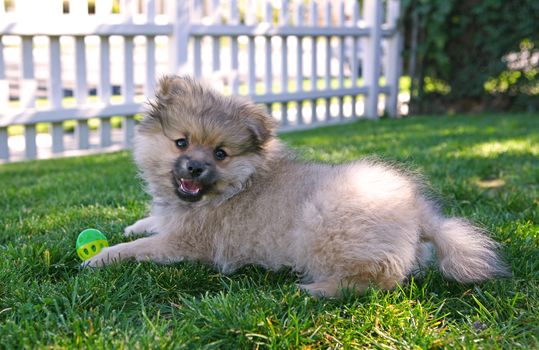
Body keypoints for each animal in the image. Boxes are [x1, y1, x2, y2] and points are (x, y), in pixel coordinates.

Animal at [84, 75, 510, 296]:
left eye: (221, 154)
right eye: (181, 143)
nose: (195, 168)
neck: (236, 185)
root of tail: (419, 214)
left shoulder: (184, 243)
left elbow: (138, 249)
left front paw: (100, 256)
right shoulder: (174, 223)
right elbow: (148, 225)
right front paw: (133, 225)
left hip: (321, 227)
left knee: (381, 279)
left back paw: (316, 289)